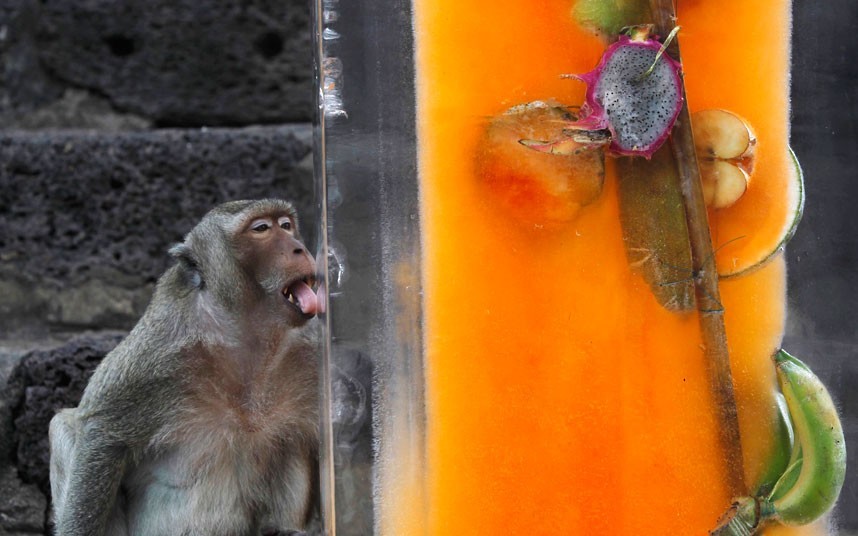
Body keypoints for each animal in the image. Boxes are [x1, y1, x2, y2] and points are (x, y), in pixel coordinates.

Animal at [51, 199, 324, 532]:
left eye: (286, 225)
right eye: (261, 228)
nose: (299, 248)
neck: (244, 338)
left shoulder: (312, 350)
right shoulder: (157, 354)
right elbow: (101, 432)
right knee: (64, 425)